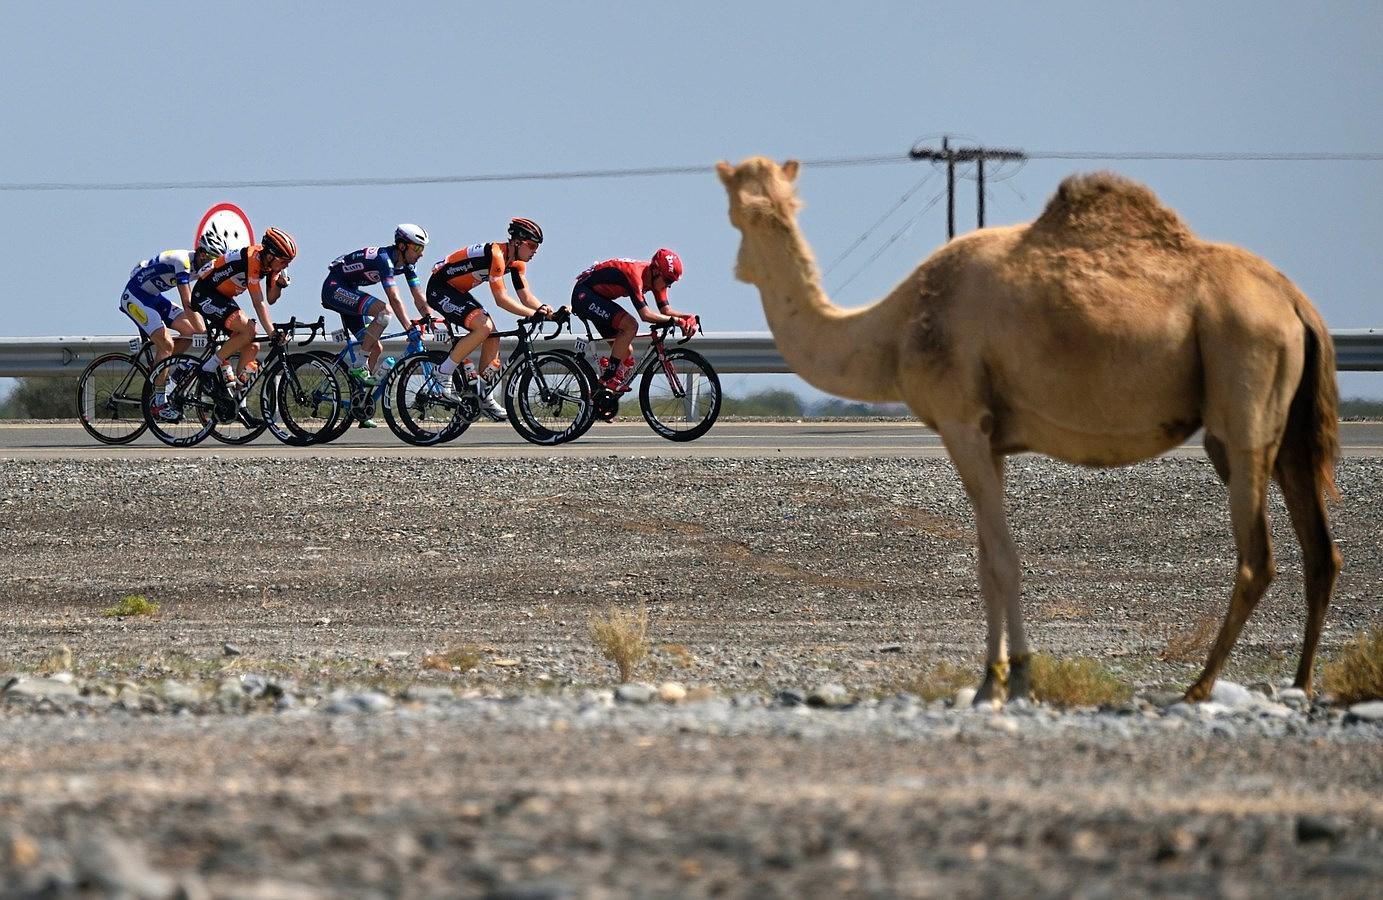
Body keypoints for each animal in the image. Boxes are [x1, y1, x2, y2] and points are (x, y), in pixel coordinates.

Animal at [716, 156, 1341, 705]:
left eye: (745, 208)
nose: (742, 261)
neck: (894, 328)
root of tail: (1297, 302)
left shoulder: (961, 422)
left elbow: (1001, 558)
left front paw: (1011, 681)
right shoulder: (989, 438)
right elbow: (983, 560)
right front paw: (990, 682)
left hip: (1243, 380)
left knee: (1258, 555)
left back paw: (1198, 687)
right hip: (1285, 425)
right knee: (1321, 551)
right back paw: (1301, 684)